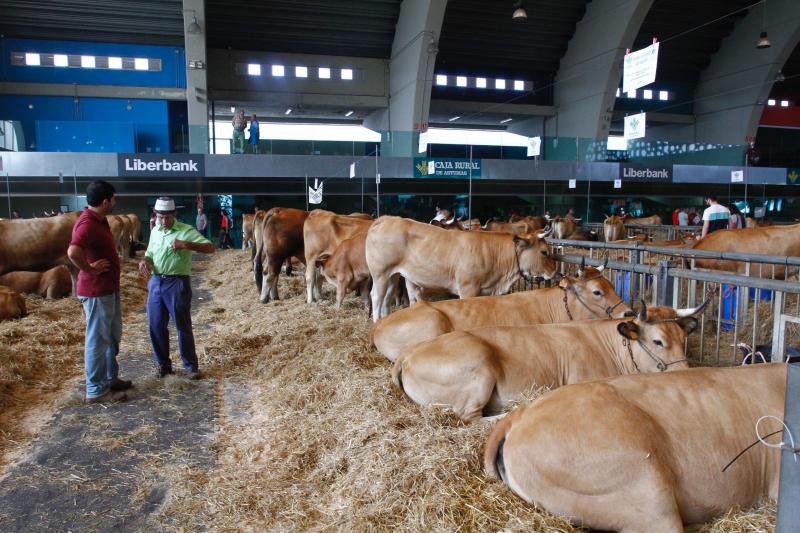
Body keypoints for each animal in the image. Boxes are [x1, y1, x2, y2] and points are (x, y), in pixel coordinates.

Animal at [364, 215, 556, 320]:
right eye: (544, 252)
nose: (554, 272)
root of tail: (386, 219)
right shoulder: (468, 288)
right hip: (380, 273)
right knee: (376, 296)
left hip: (394, 275)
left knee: (387, 298)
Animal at [390, 302, 704, 422]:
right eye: (658, 341)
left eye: (683, 338)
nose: (686, 372)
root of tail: (408, 354)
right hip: (478, 370)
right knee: (469, 417)